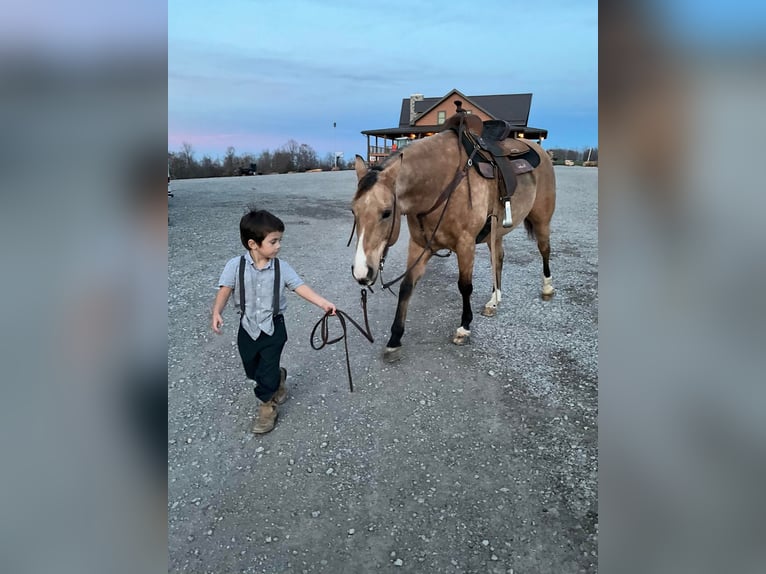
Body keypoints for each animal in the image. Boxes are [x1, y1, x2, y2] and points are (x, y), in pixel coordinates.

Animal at [350, 106, 560, 362]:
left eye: (386, 212)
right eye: (353, 211)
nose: (362, 272)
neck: (439, 185)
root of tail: (540, 151)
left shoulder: (465, 244)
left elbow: (465, 286)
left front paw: (464, 328)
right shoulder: (420, 246)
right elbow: (406, 287)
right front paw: (394, 339)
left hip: (541, 220)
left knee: (544, 249)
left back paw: (547, 288)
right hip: (495, 232)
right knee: (498, 259)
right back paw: (494, 301)